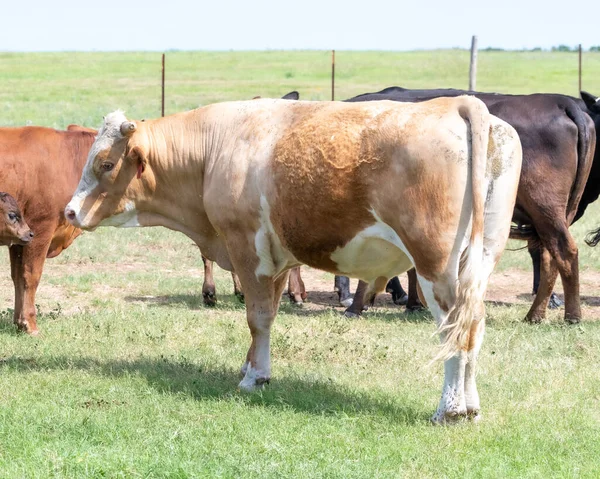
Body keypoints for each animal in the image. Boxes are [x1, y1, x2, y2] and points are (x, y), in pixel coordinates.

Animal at [0, 126, 95, 334]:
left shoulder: (20, 236)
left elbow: (17, 276)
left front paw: (19, 322)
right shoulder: (40, 228)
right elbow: (31, 275)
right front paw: (30, 324)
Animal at [65, 98, 524, 424]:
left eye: (106, 163)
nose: (69, 211)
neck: (215, 147)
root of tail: (458, 102)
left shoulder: (247, 247)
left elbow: (257, 316)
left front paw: (254, 377)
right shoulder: (280, 259)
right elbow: (267, 316)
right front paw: (253, 366)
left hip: (435, 266)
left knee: (454, 330)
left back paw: (449, 409)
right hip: (479, 261)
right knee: (474, 326)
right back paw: (471, 407)